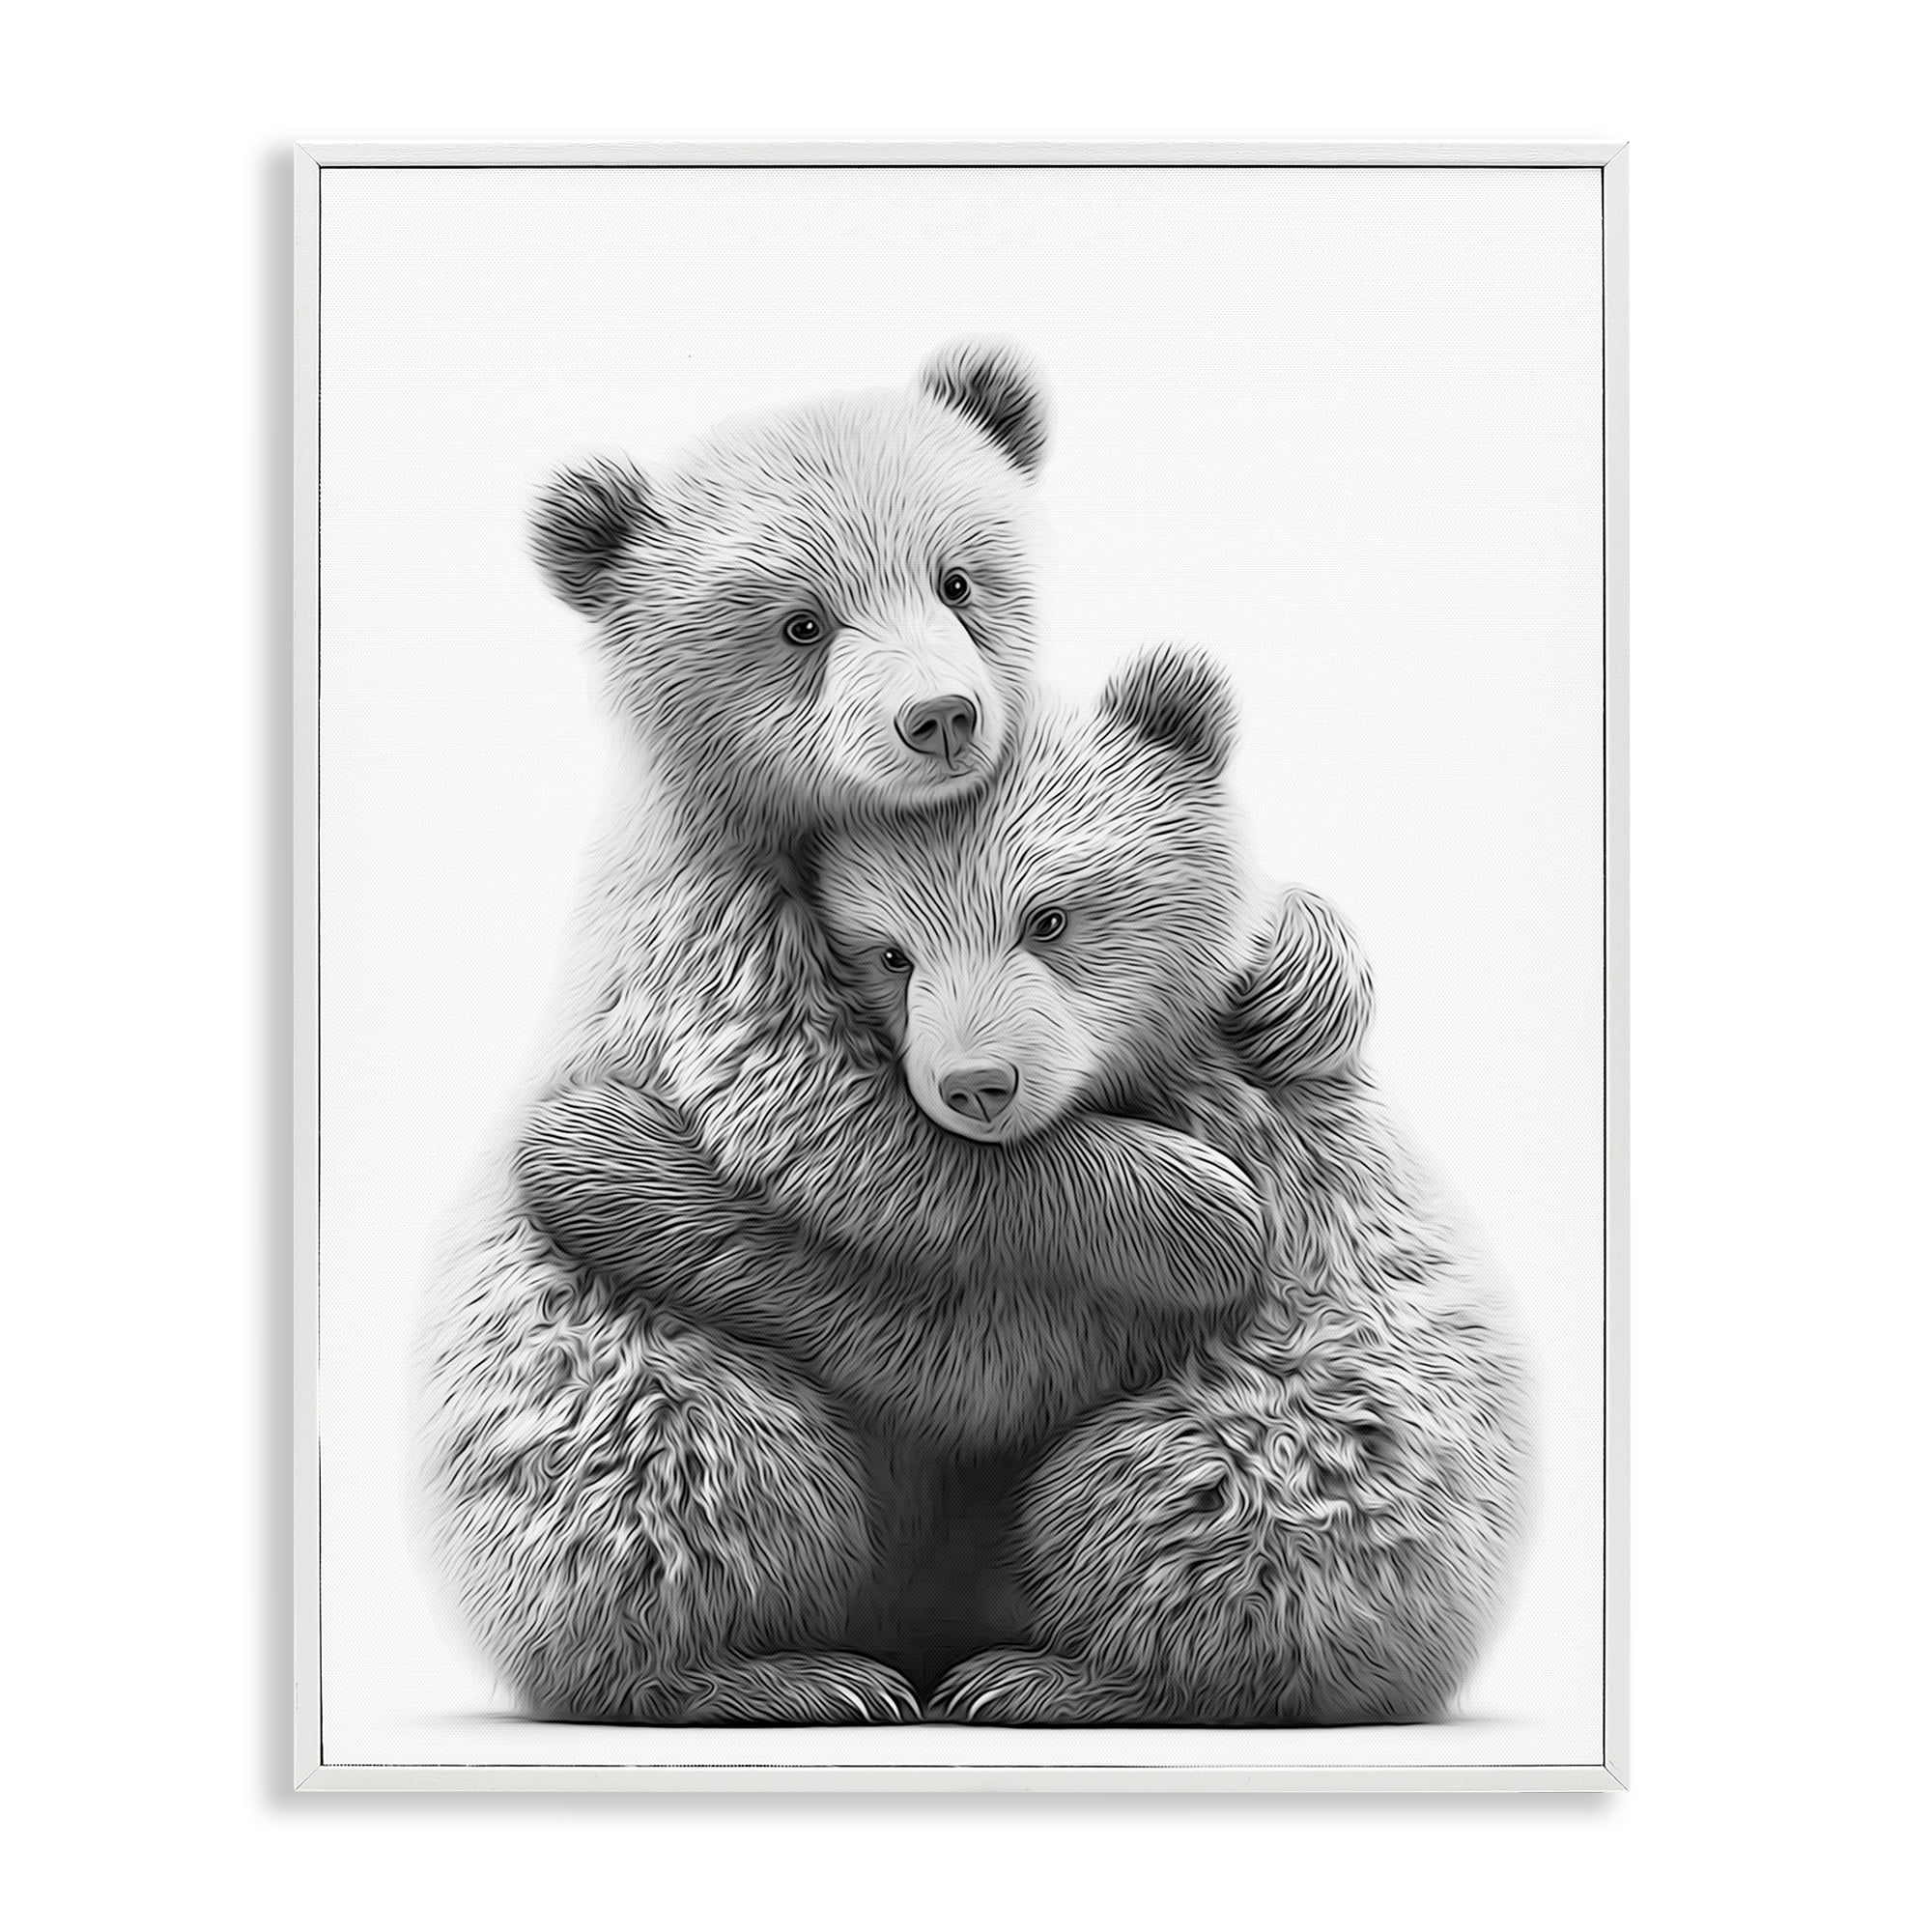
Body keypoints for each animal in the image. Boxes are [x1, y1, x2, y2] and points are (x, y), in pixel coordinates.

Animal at [417, 344, 1310, 1724]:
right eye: (799, 621)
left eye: (956, 576)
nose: (940, 715)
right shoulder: (710, 932)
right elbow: (842, 1136)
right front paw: (1191, 1207)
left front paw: (1304, 972)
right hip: (608, 1371)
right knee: (703, 1457)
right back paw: (785, 1669)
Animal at [791, 645, 1531, 1725]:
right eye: (890, 952)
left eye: (1049, 916)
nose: (977, 1083)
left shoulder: (1244, 1177)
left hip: (1298, 1448)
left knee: (1151, 1494)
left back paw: (1037, 1674)